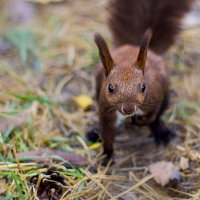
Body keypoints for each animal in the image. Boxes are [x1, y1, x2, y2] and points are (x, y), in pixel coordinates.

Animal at [87, 0, 192, 166]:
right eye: (110, 88)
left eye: (143, 87)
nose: (129, 109)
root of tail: (132, 46)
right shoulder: (105, 109)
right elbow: (108, 132)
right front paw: (107, 154)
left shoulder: (155, 97)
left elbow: (152, 115)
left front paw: (141, 122)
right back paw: (94, 134)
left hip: (166, 94)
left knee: (158, 116)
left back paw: (161, 132)